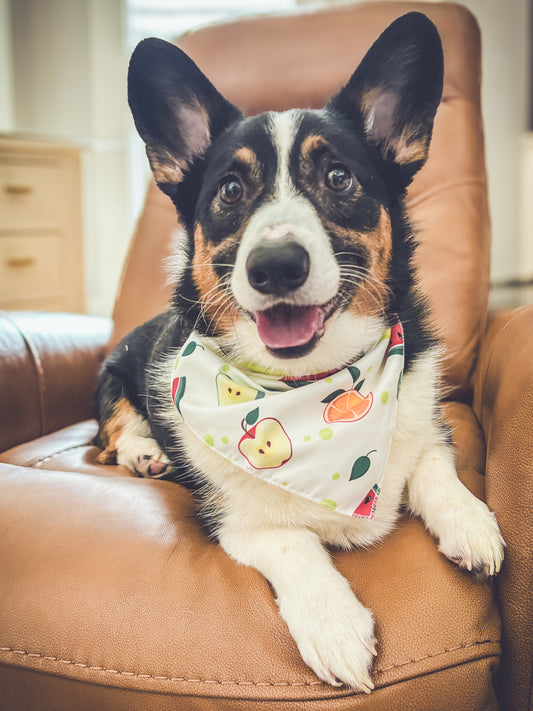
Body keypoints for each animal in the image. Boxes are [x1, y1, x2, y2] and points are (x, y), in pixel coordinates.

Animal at [93, 13, 504, 696]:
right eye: (231, 190)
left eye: (339, 178)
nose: (276, 266)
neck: (308, 387)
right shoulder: (236, 522)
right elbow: (293, 545)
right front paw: (335, 626)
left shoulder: (427, 423)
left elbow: (434, 467)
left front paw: (472, 524)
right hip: (112, 373)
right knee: (110, 430)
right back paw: (144, 451)